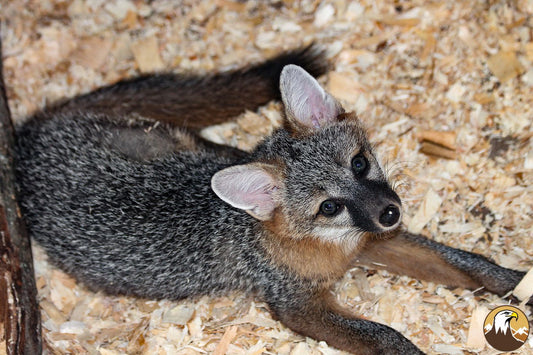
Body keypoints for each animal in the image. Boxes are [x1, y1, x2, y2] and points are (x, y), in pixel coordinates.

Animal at [11, 45, 528, 355]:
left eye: (360, 164)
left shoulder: (375, 242)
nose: (390, 212)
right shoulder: (298, 306)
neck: (333, 251)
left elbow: (467, 265)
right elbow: (383, 334)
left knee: (223, 151)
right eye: (328, 207)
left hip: (181, 141)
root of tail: (32, 134)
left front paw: (517, 282)